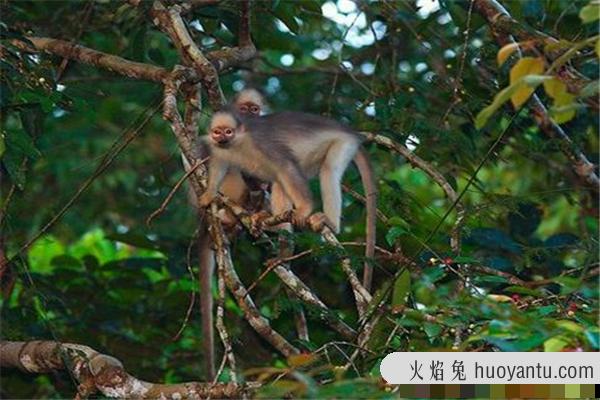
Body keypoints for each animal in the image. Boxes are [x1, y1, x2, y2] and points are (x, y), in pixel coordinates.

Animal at [199, 109, 378, 294]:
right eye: (217, 132)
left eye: (228, 131)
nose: (222, 138)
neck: (237, 143)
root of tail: (350, 133)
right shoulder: (219, 149)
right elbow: (219, 164)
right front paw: (210, 193)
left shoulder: (262, 143)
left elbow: (286, 166)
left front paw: (305, 209)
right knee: (279, 181)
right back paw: (280, 245)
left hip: (343, 144)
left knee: (327, 170)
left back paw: (330, 224)